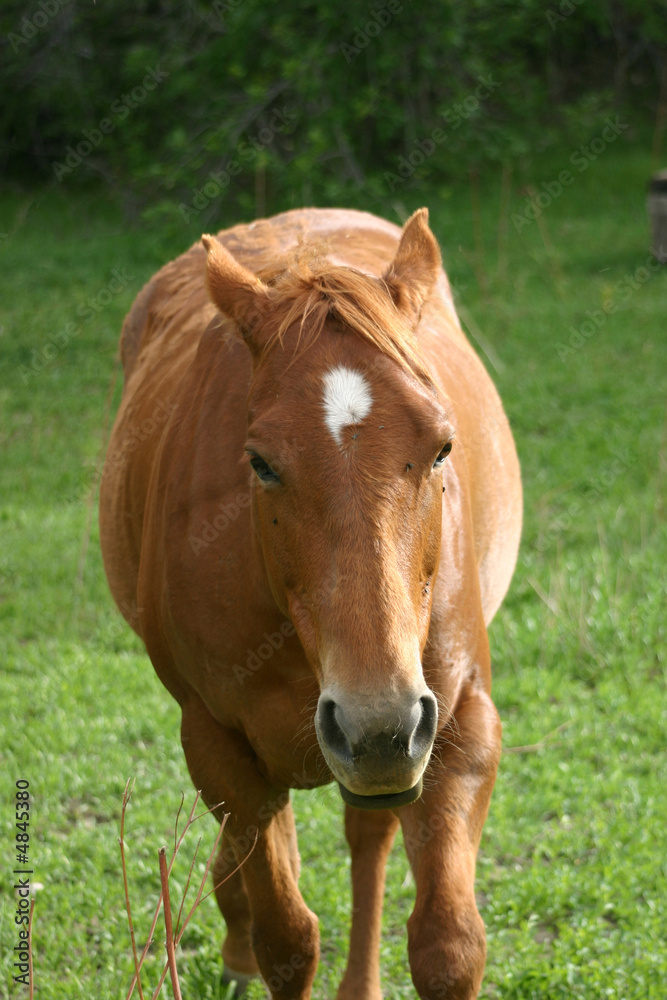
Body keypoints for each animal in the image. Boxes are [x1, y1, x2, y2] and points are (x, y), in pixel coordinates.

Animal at [99, 206, 522, 1000]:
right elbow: (287, 939)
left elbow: (448, 946)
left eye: (443, 447)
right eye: (260, 462)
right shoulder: (220, 744)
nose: (378, 721)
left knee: (367, 836)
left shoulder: (456, 726)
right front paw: (250, 933)